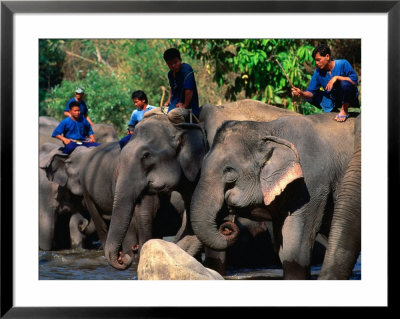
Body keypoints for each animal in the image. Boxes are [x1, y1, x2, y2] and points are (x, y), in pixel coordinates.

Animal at [191, 112, 356, 280]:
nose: (226, 226)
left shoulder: (312, 183)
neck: (268, 129)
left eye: (229, 171)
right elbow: (281, 248)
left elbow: (295, 247)